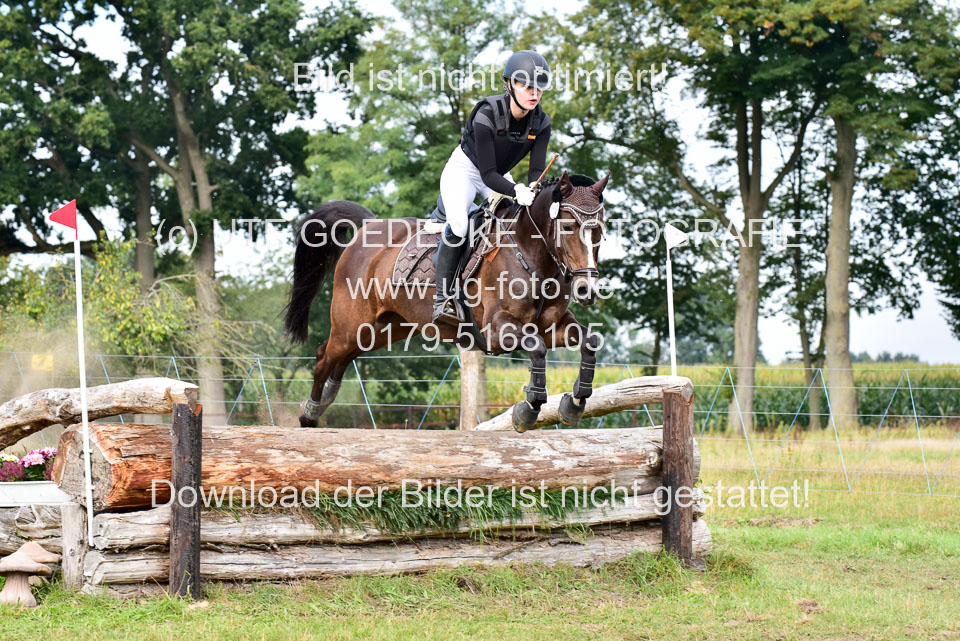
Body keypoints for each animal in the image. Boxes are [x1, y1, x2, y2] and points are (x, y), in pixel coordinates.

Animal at [283, 170, 610, 431]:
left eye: (600, 230)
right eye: (567, 227)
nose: (587, 289)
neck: (532, 256)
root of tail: (368, 228)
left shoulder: (553, 327)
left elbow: (589, 341)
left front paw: (575, 402)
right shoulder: (498, 330)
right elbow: (537, 349)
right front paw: (529, 410)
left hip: (382, 328)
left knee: (342, 358)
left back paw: (324, 400)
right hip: (351, 324)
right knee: (323, 358)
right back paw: (309, 415)